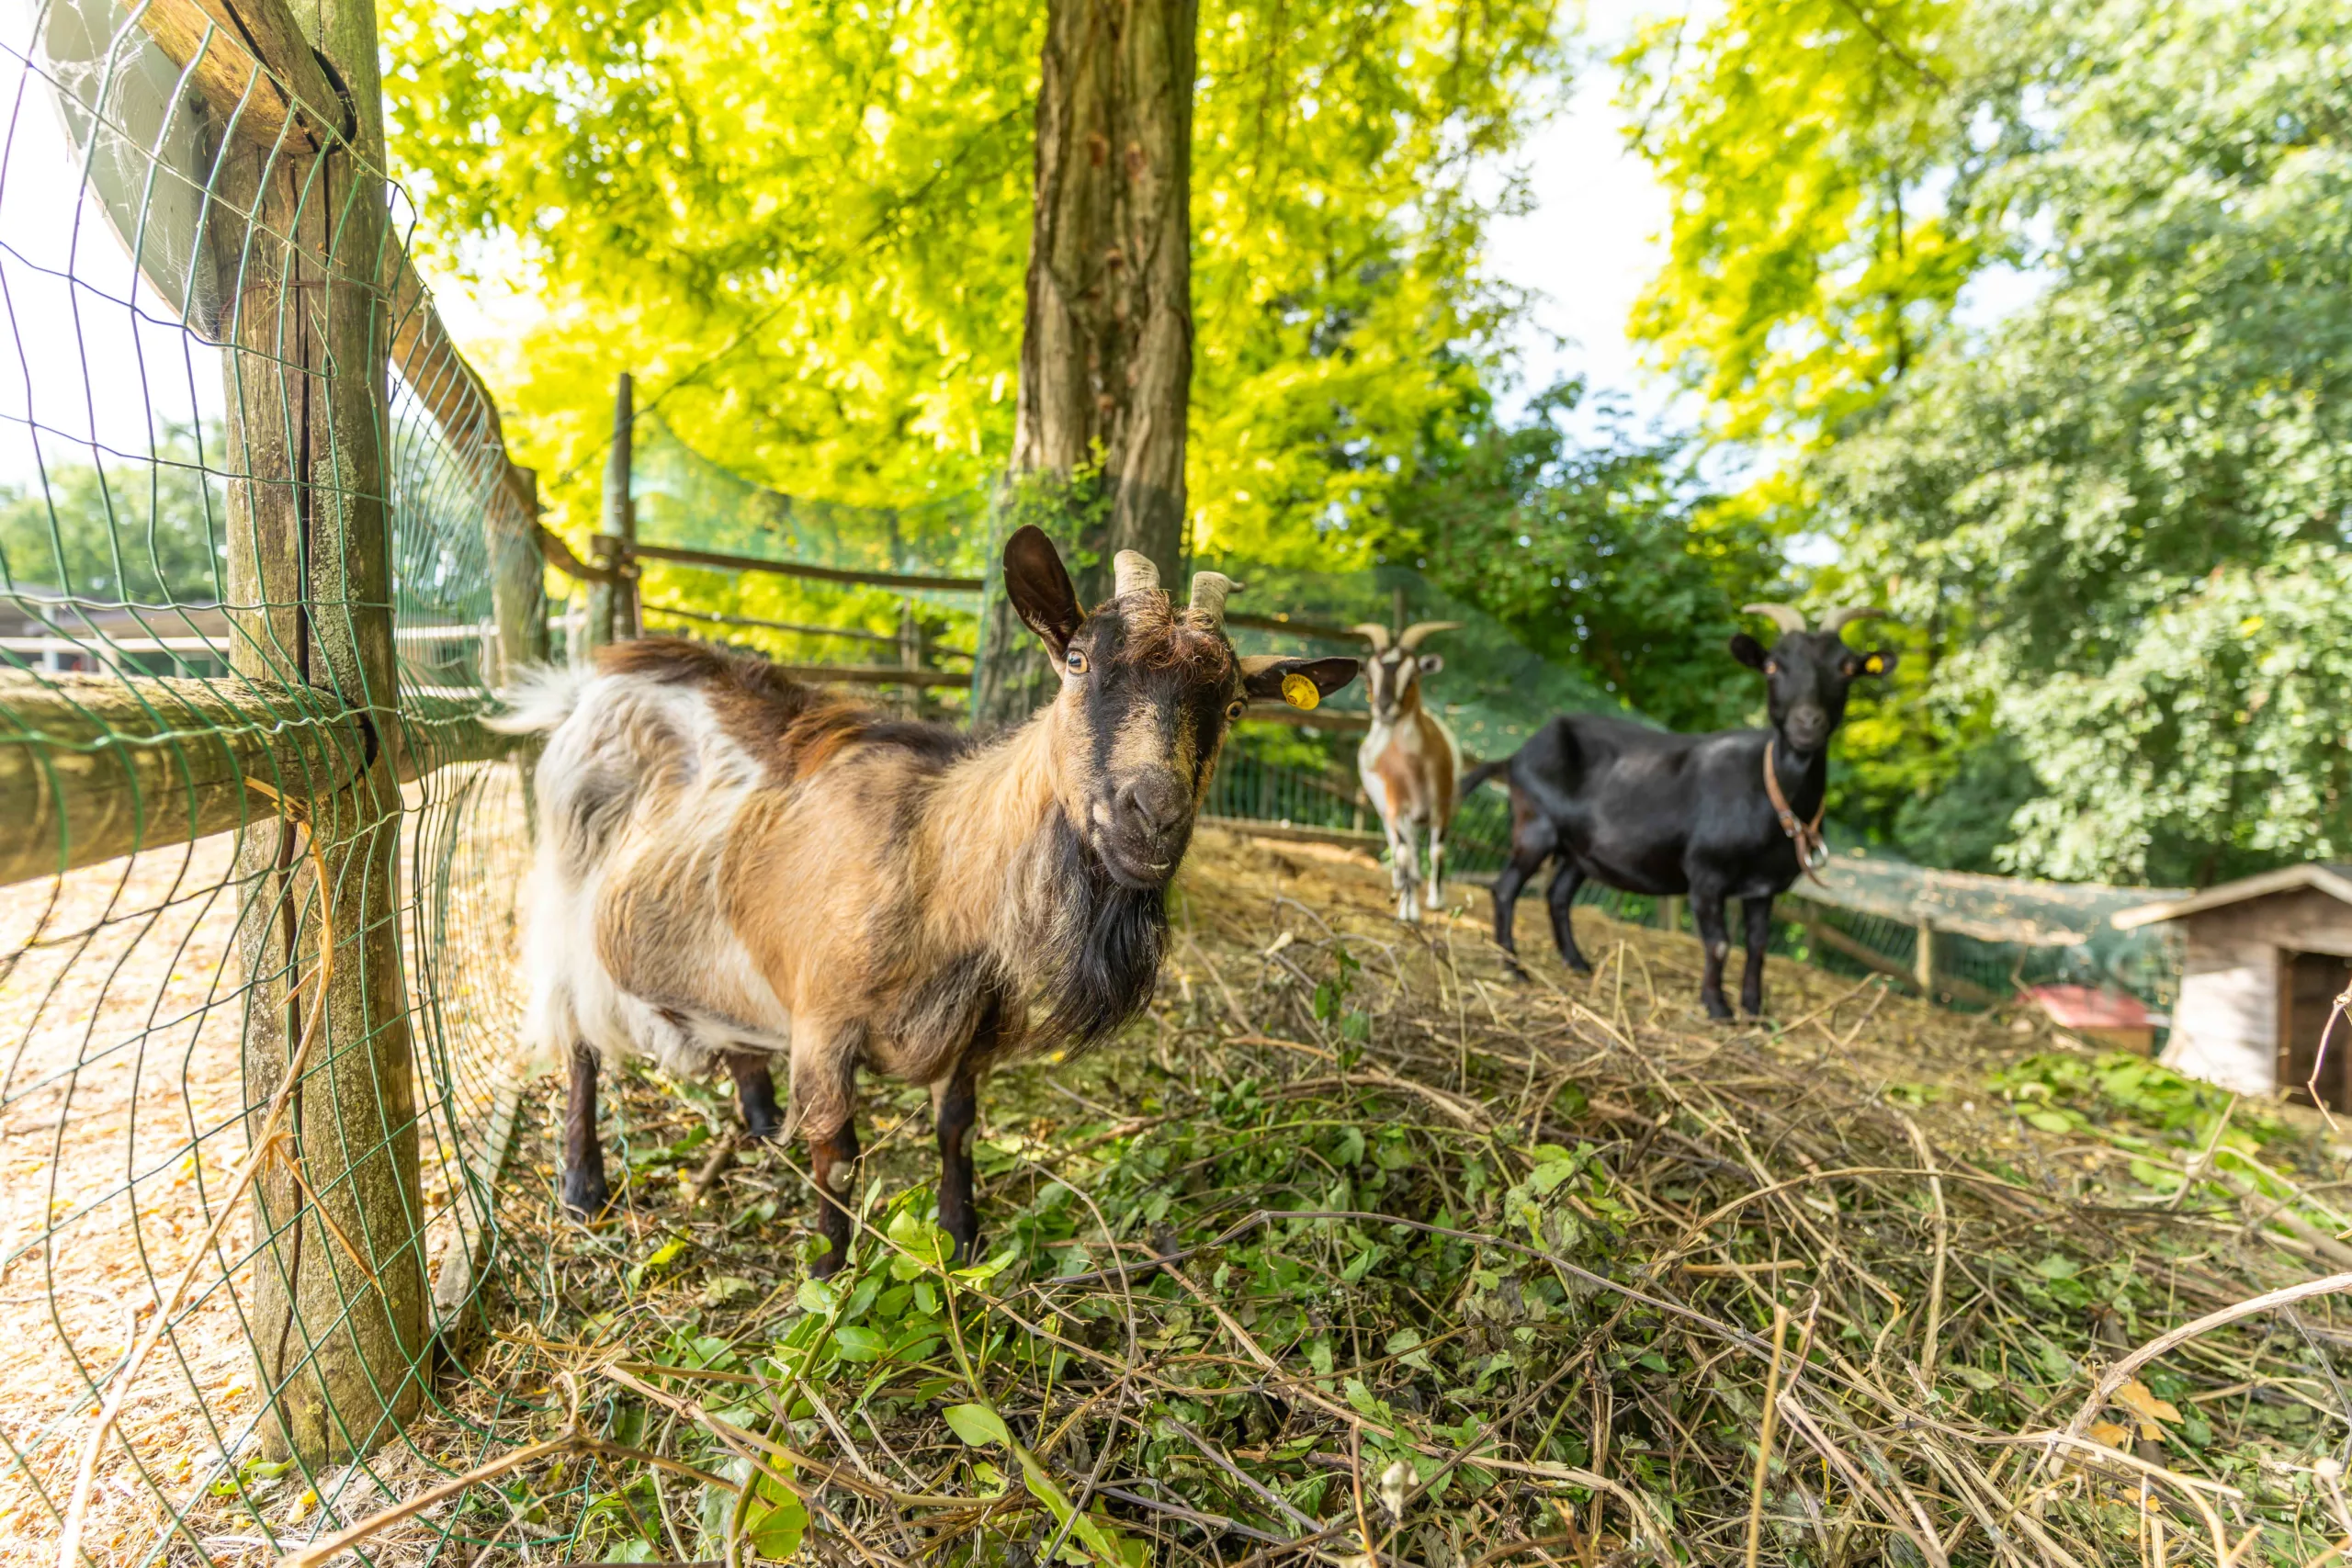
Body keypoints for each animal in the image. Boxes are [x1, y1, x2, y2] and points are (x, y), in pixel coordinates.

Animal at [492, 526, 1363, 1279]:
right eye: (1078, 659)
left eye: (1235, 704)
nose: (1151, 814)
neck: (936, 864)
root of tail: (588, 684)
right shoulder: (823, 1023)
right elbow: (839, 1157)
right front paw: (826, 1275)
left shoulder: (975, 1033)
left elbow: (957, 1129)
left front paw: (961, 1236)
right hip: (565, 892)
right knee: (576, 1038)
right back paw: (583, 1185)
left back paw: (761, 1118)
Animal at [1354, 620, 1458, 921]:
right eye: (1370, 678)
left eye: (1411, 677)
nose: (1384, 708)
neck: (1414, 770)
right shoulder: (1395, 807)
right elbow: (1401, 854)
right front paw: (1408, 912)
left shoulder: (1442, 807)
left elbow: (1437, 851)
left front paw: (1436, 900)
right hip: (1385, 810)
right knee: (1401, 847)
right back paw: (1402, 884)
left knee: (1414, 847)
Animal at [1458, 602, 1900, 1020]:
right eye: (1773, 665)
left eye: (1847, 668)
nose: (1808, 722)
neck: (1771, 794)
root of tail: (1516, 757)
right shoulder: (1705, 872)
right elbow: (1719, 943)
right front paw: (1718, 1008)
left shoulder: (1764, 887)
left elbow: (1757, 946)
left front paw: (1754, 1010)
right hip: (1536, 826)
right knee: (1506, 889)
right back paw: (1513, 967)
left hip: (1578, 851)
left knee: (1557, 895)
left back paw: (1577, 963)